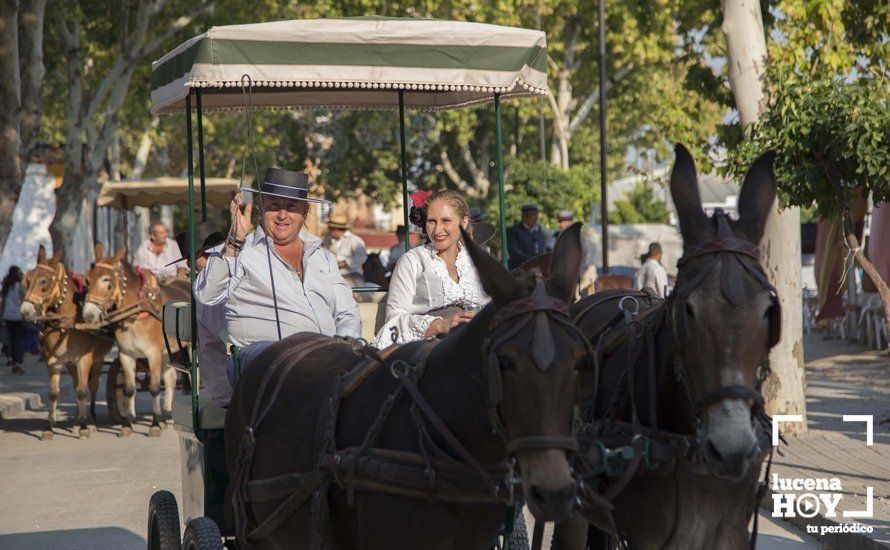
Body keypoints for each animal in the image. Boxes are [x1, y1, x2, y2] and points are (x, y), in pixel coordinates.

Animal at [19, 248, 112, 442]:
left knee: (92, 385)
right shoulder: (54, 360)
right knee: (77, 383)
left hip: (97, 358)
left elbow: (83, 390)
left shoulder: (84, 359)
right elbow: (54, 392)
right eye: (28, 280)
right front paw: (49, 426)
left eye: (44, 281)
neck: (66, 322)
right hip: (70, 363)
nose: (25, 311)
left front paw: (84, 427)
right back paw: (78, 419)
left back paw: (91, 418)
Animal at [82, 244, 190, 438]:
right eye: (87, 279)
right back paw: (167, 413)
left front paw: (155, 424)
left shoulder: (153, 354)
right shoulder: (126, 354)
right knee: (170, 378)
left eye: (107, 280)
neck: (135, 314)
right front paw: (127, 423)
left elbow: (154, 388)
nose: (88, 314)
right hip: (167, 351)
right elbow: (129, 389)